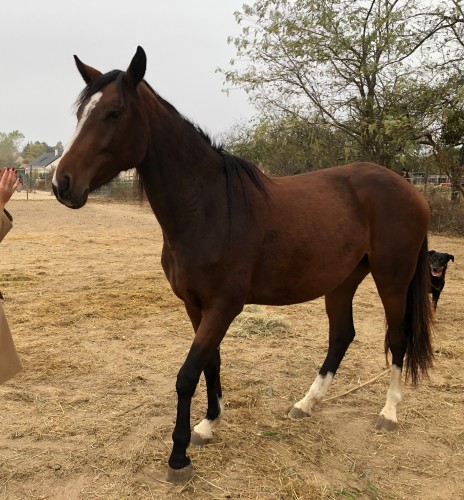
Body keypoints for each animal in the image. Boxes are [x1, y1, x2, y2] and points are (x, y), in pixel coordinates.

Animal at [52, 46, 434, 484]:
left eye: (114, 113)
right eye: (81, 114)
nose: (61, 183)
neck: (209, 207)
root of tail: (411, 189)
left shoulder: (223, 307)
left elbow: (187, 375)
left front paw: (179, 455)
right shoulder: (196, 306)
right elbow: (210, 363)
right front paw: (208, 424)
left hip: (392, 279)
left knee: (397, 337)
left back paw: (388, 413)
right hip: (342, 282)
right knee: (342, 336)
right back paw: (306, 404)